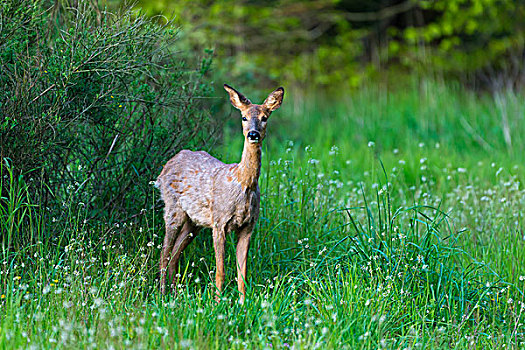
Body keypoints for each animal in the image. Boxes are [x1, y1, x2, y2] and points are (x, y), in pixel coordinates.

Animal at [156, 83, 284, 302]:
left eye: (265, 117)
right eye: (244, 117)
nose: (253, 134)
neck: (243, 185)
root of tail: (167, 165)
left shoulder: (248, 226)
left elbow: (242, 271)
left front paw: (242, 302)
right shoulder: (219, 222)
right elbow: (220, 270)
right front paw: (217, 302)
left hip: (194, 222)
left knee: (174, 254)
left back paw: (174, 294)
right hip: (173, 209)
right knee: (164, 252)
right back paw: (163, 294)